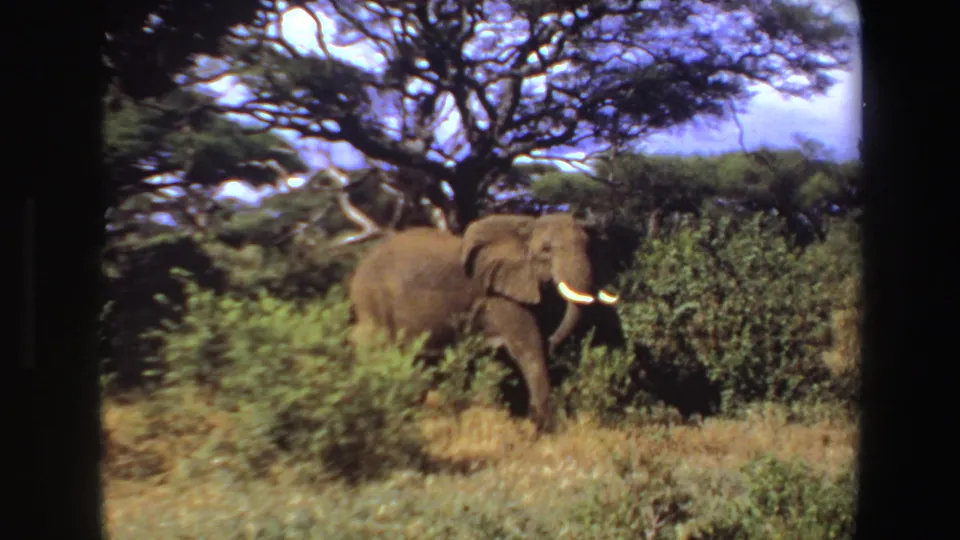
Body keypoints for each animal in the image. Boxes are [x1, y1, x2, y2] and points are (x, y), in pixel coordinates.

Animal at [347, 213, 619, 432]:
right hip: (373, 302)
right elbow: (528, 347)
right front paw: (550, 428)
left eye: (589, 246)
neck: (525, 226)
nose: (554, 342)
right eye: (546, 250)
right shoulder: (497, 294)